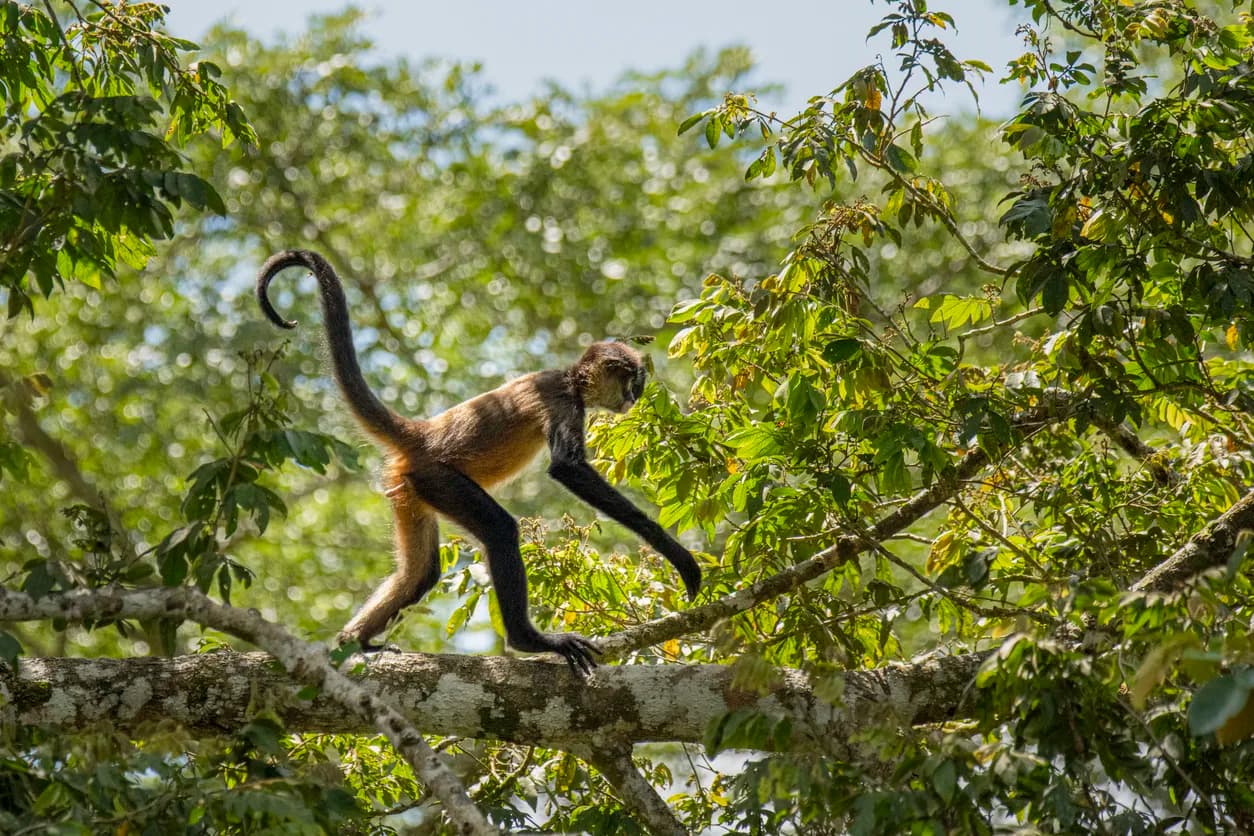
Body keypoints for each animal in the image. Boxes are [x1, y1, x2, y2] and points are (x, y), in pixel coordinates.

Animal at [256, 249, 701, 675]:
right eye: (633, 382)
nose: (635, 398)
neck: (570, 379)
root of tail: (423, 433)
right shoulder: (561, 398)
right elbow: (566, 468)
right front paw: (674, 552)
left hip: (410, 487)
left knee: (422, 572)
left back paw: (355, 642)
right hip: (438, 478)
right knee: (500, 531)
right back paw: (529, 641)